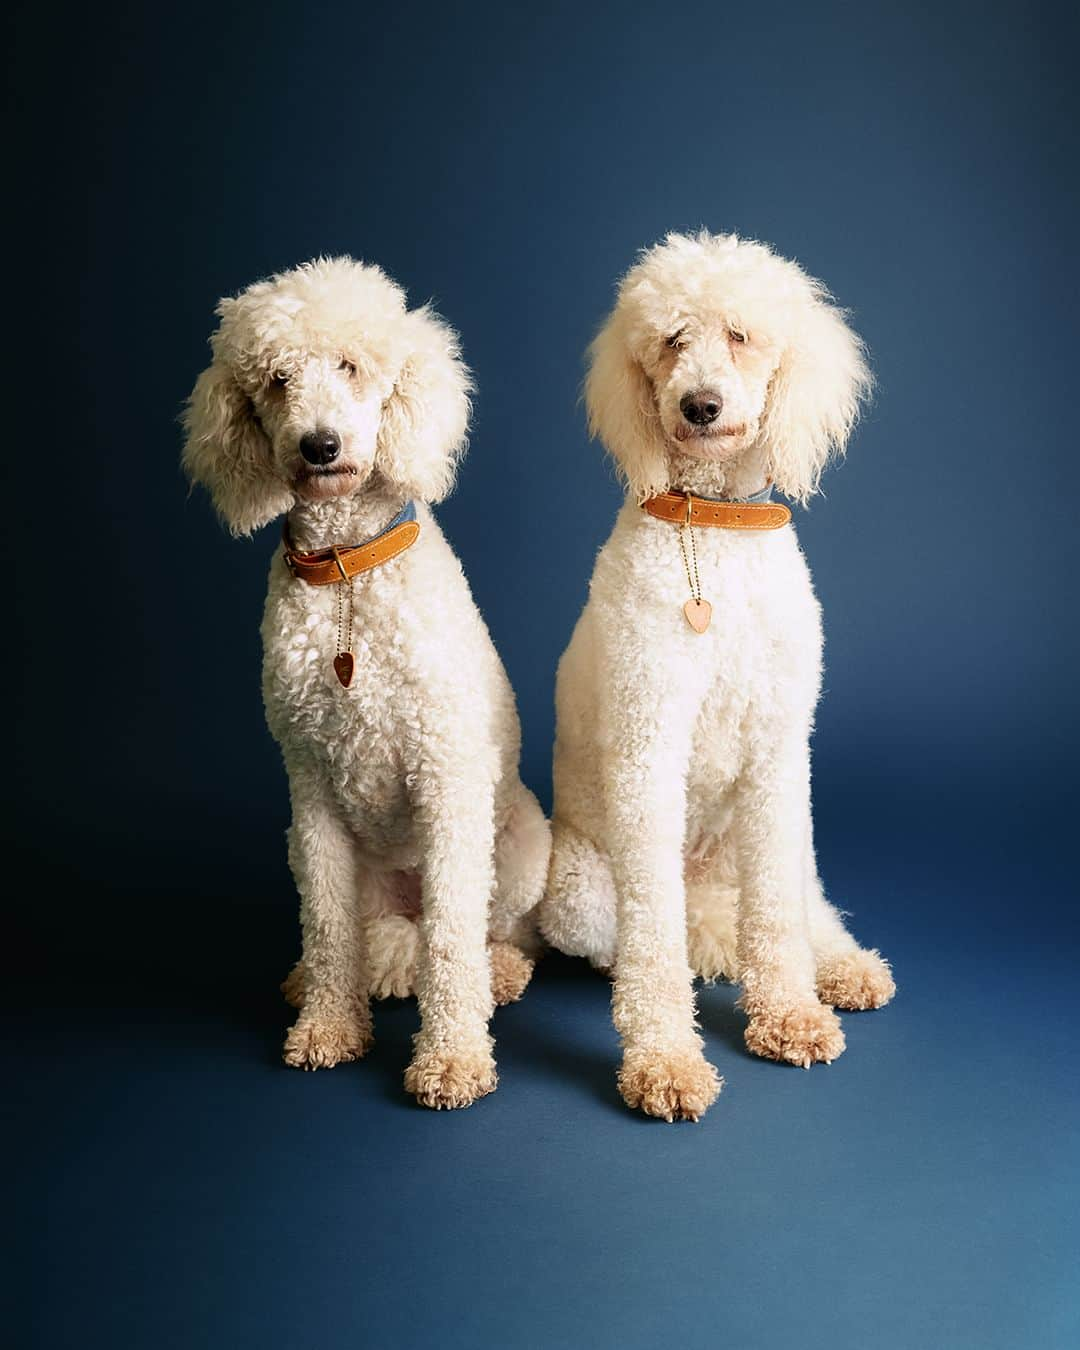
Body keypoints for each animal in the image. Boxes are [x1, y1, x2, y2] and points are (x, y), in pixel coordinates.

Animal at [183, 257, 548, 1112]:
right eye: (277, 380)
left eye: (351, 367)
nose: (320, 446)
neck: (348, 573)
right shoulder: (311, 785)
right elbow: (325, 920)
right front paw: (328, 1024)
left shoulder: (446, 775)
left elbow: (453, 940)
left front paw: (452, 1060)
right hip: (326, 856)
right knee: (372, 937)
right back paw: (339, 976)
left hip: (517, 842)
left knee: (483, 929)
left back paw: (497, 972)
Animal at [540, 237, 896, 1123]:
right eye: (670, 342)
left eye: (740, 335)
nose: (700, 405)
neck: (717, 532)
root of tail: (707, 901)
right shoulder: (648, 749)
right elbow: (652, 944)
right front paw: (664, 1061)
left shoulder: (778, 753)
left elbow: (777, 913)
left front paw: (792, 1012)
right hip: (578, 896)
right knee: (647, 936)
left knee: (802, 902)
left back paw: (842, 964)